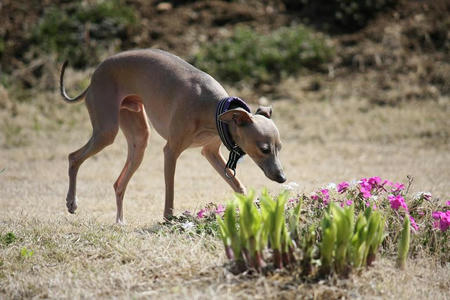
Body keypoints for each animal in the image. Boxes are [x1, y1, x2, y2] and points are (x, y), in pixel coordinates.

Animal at [60, 48, 284, 223]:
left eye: (279, 148)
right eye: (264, 149)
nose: (282, 178)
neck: (213, 109)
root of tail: (93, 77)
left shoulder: (210, 152)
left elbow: (238, 186)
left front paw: (251, 209)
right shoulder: (171, 151)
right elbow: (170, 191)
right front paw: (169, 220)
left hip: (138, 136)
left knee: (118, 183)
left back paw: (120, 222)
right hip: (107, 130)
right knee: (73, 157)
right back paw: (71, 202)